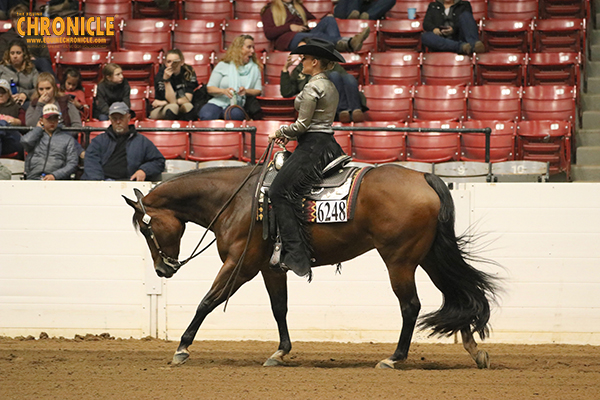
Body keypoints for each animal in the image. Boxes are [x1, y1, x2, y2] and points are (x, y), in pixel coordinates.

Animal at [122, 162, 496, 368]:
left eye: (146, 228)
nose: (162, 270)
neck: (238, 201)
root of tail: (423, 178)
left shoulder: (240, 265)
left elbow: (207, 301)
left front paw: (182, 348)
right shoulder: (270, 268)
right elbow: (279, 308)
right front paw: (280, 352)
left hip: (399, 260)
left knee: (411, 306)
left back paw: (394, 358)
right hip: (429, 256)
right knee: (459, 293)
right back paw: (474, 350)